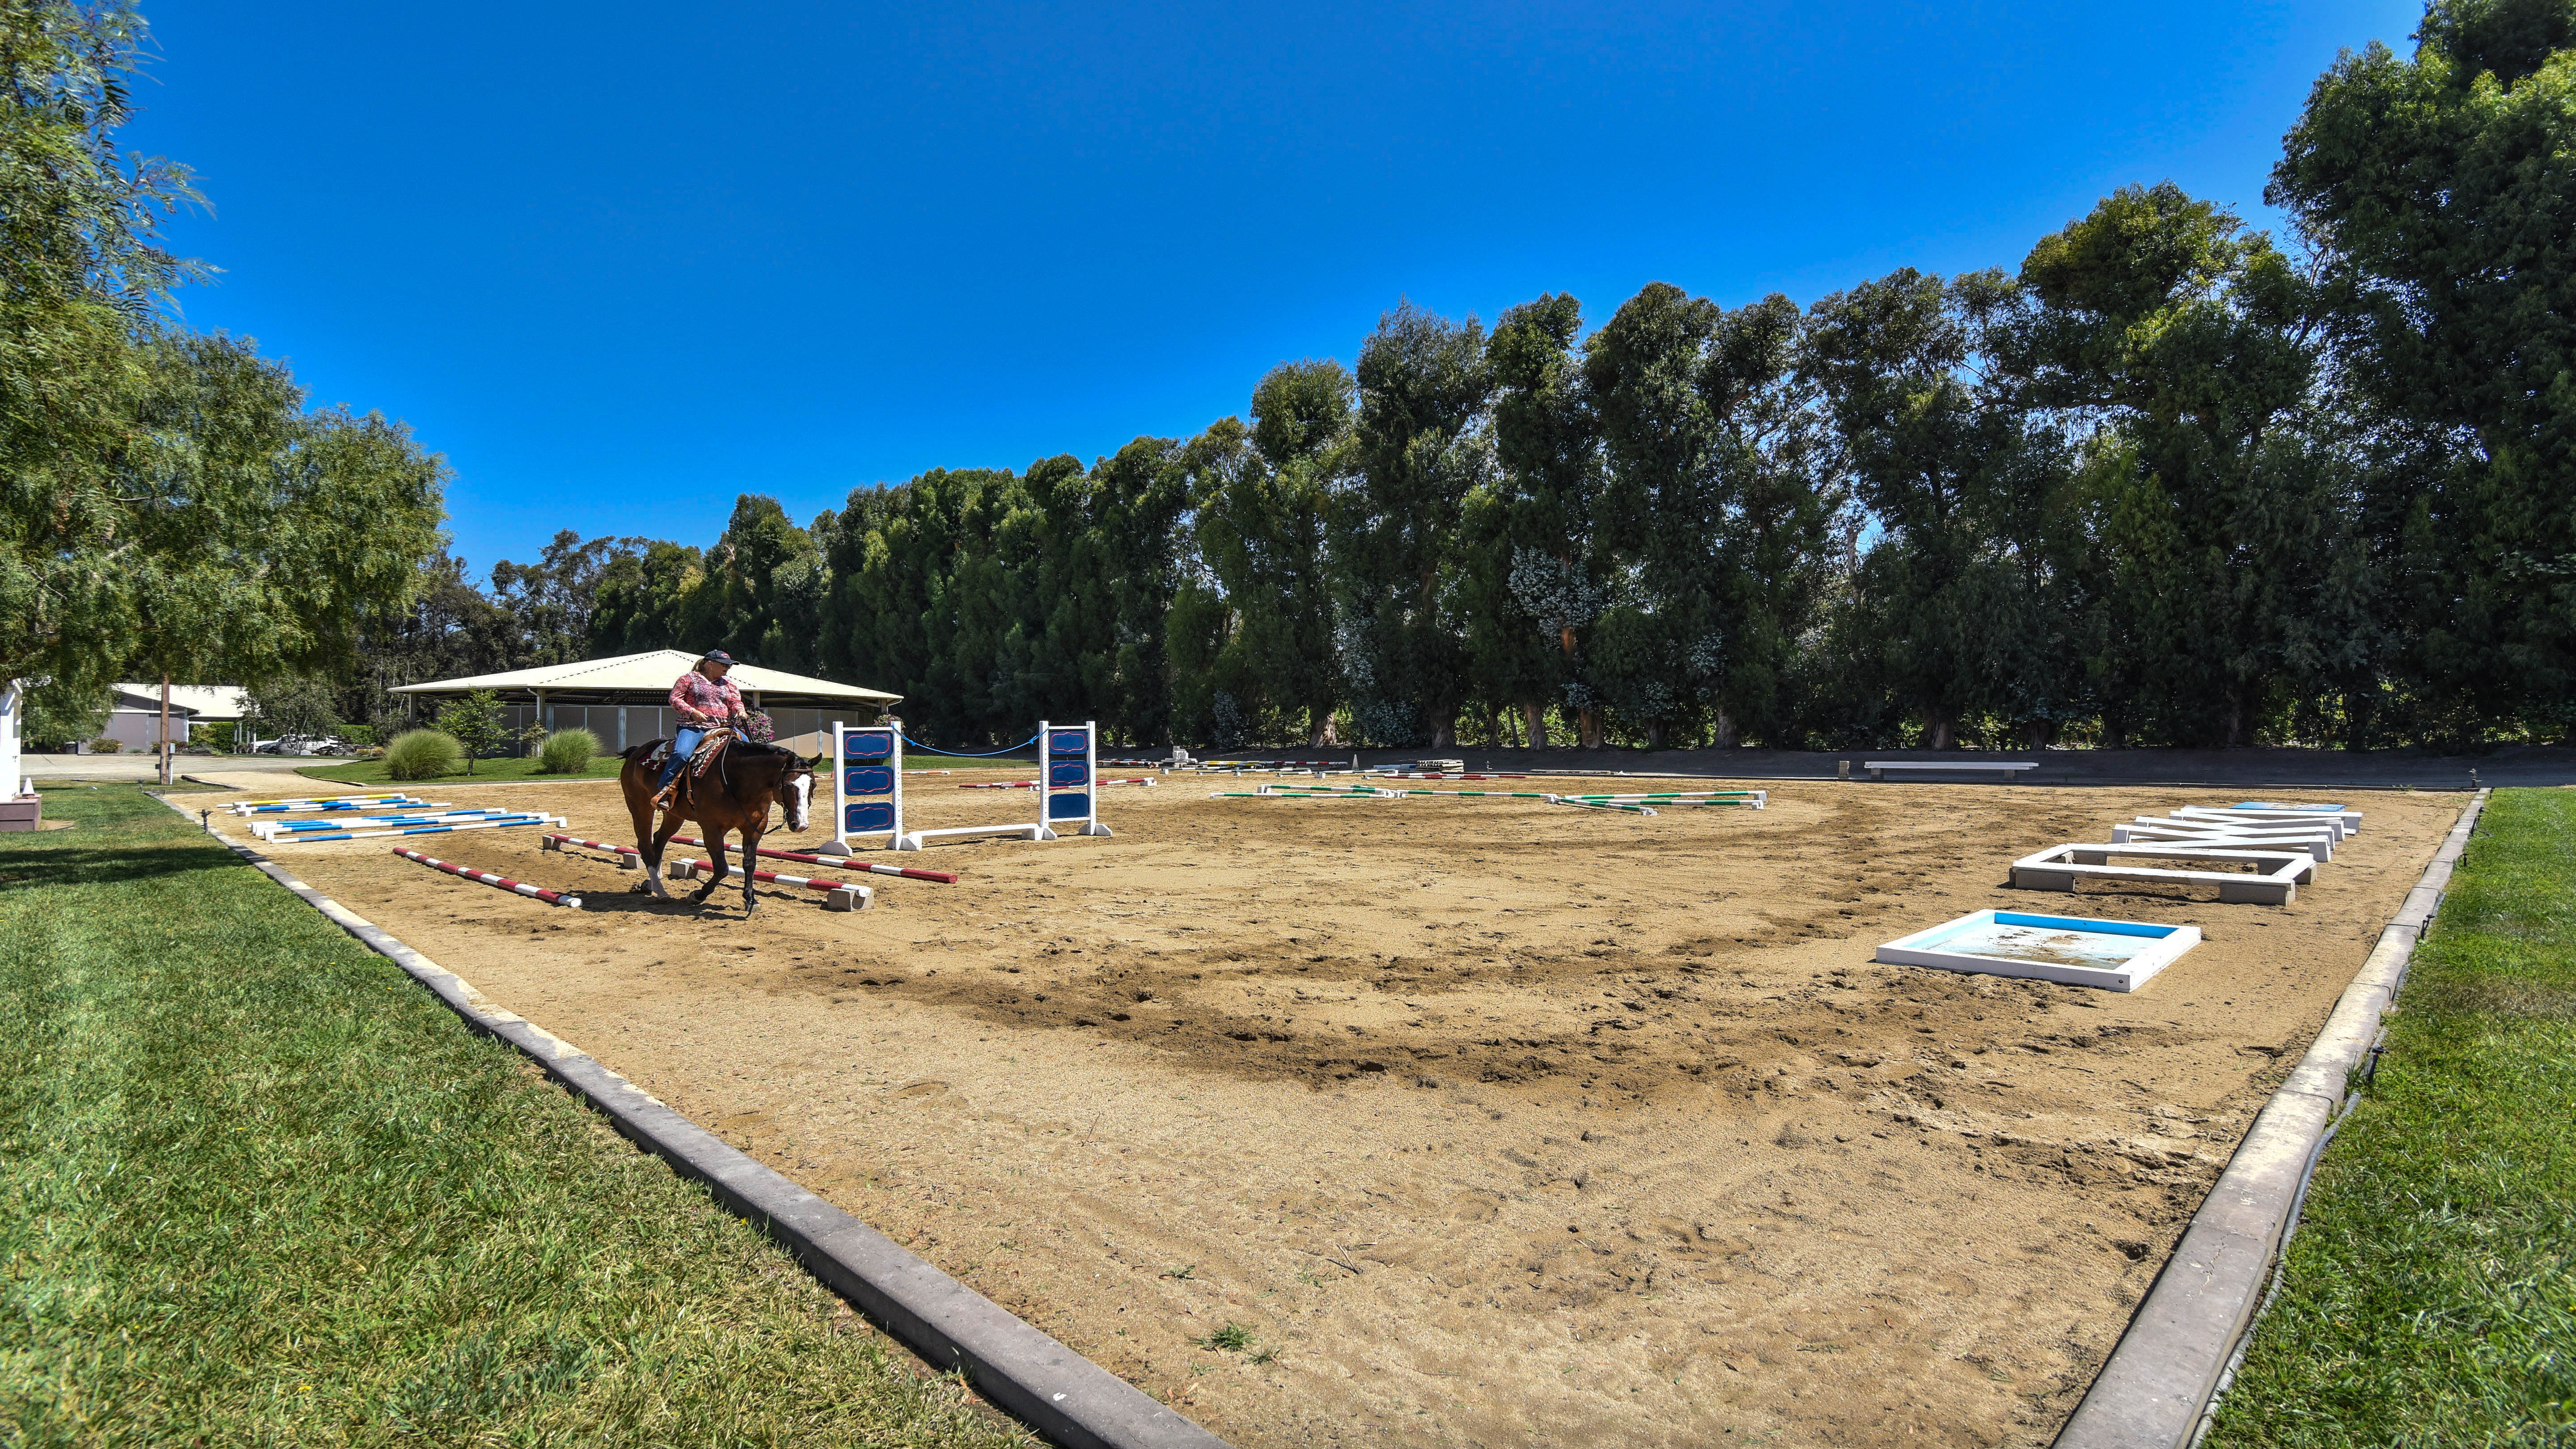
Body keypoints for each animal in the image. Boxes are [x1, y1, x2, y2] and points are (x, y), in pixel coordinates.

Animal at [617, 733, 817, 915]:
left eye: (813, 786)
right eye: (789, 785)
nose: (801, 824)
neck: (738, 780)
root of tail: (636, 753)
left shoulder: (756, 827)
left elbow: (750, 863)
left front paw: (751, 899)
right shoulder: (712, 830)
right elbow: (722, 868)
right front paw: (698, 895)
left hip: (674, 816)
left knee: (658, 840)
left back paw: (650, 884)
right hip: (640, 808)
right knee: (645, 847)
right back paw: (661, 891)